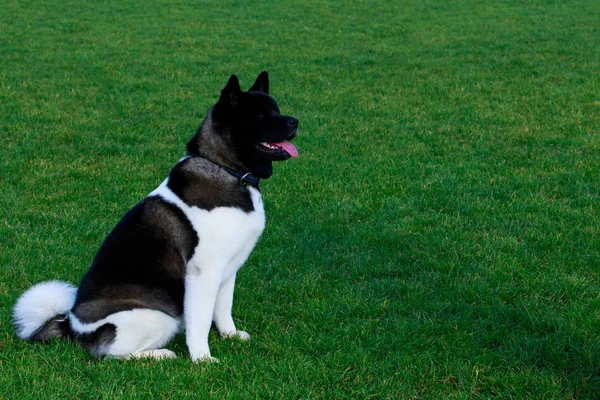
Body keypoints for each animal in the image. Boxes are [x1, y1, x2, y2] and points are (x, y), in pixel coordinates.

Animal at [11, 72, 298, 362]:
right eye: (259, 116)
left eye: (276, 109)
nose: (295, 121)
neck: (225, 169)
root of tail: (71, 327)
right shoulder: (203, 273)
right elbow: (201, 320)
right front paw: (202, 359)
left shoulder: (228, 269)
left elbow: (223, 308)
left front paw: (230, 335)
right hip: (159, 316)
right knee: (112, 354)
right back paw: (160, 354)